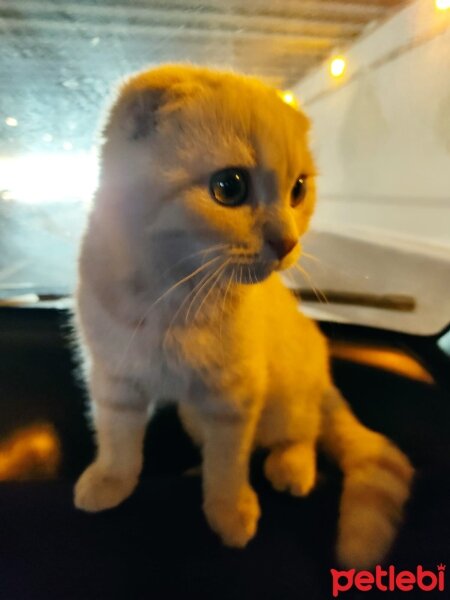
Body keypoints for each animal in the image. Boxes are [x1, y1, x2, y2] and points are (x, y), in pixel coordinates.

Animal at [74, 65, 414, 568]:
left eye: (298, 189)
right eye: (229, 187)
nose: (287, 243)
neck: (172, 293)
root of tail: (321, 372)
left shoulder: (233, 396)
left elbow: (229, 464)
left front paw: (230, 511)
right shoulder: (115, 377)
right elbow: (118, 441)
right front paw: (110, 481)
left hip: (285, 398)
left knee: (304, 432)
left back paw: (292, 467)